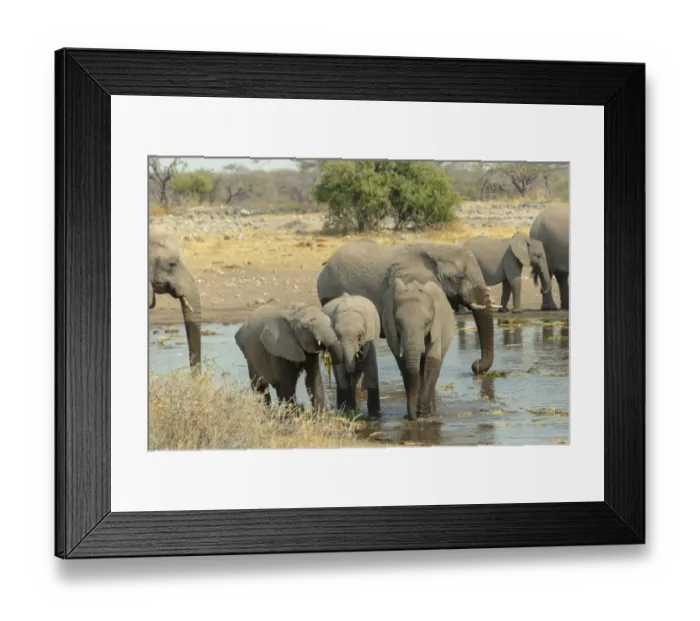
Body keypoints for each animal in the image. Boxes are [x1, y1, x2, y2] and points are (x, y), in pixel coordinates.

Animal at [382, 278, 455, 420]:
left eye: (427, 323)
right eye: (398, 323)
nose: (412, 418)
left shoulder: (436, 327)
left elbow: (432, 362)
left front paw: (423, 414)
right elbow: (404, 366)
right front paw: (416, 413)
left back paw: (432, 412)